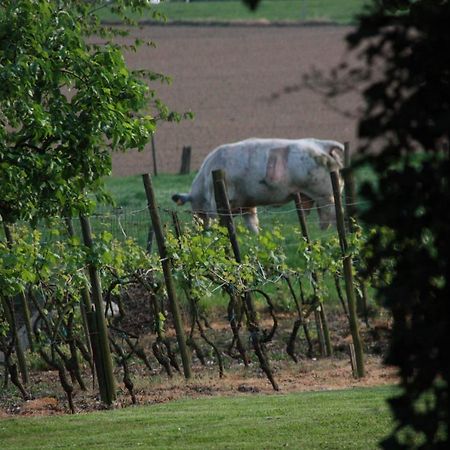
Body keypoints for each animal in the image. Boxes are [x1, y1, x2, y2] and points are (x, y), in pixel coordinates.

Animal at [172, 138, 344, 232]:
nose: (199, 227)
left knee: (333, 213)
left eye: (193, 207)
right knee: (324, 217)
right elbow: (252, 224)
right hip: (316, 195)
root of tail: (321, 144)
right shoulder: (247, 204)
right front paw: (255, 236)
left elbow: (222, 222)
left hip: (324, 193)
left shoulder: (218, 203)